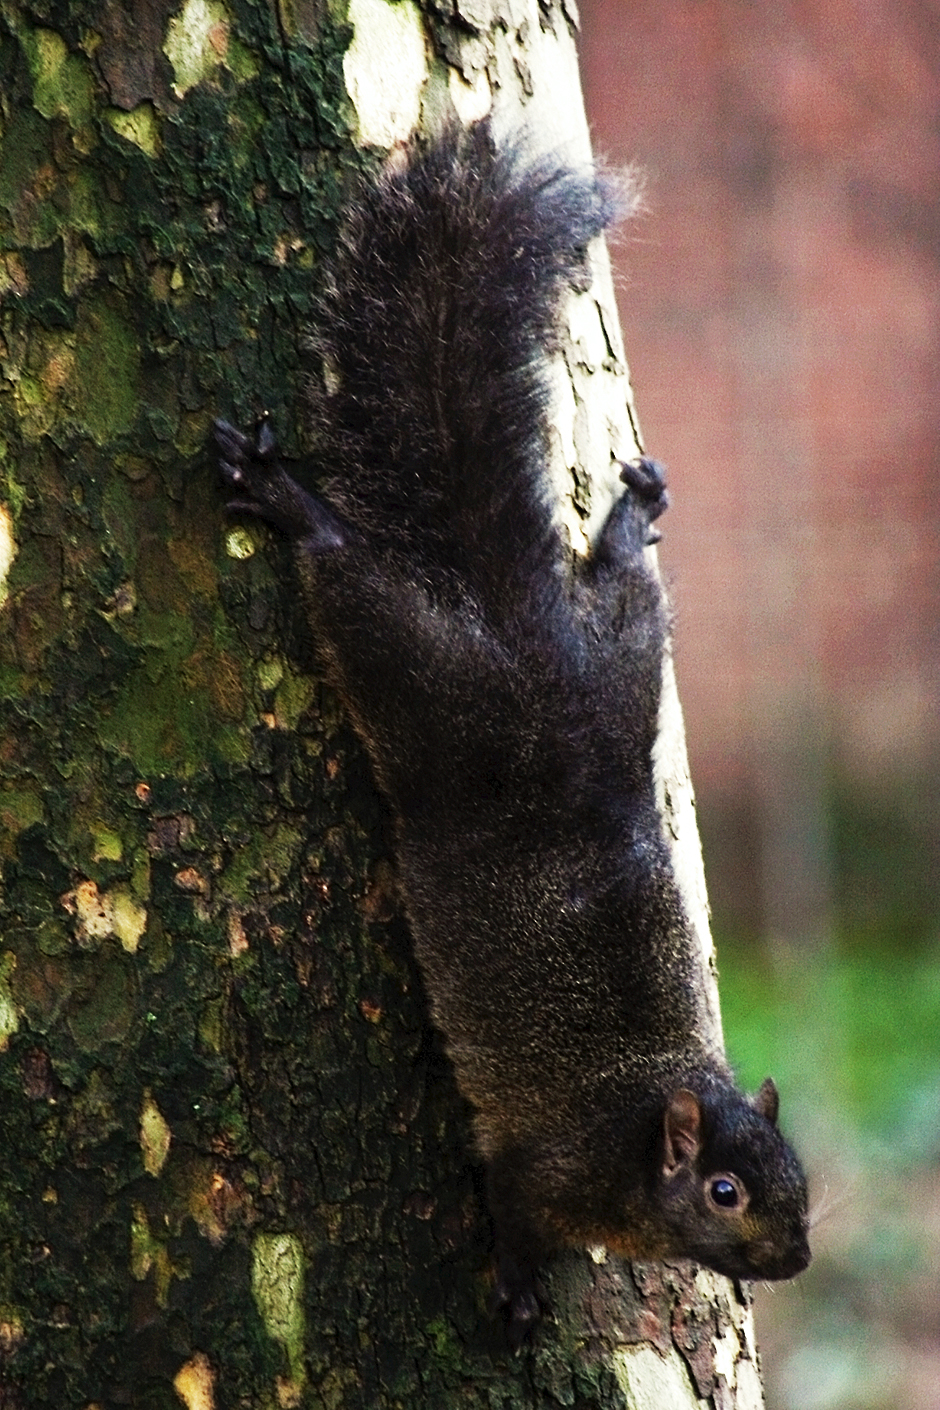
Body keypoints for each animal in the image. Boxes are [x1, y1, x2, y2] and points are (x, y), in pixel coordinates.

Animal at [212, 118, 811, 1331]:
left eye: (798, 1178)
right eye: (725, 1192)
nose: (796, 1256)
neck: (642, 1120)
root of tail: (522, 632)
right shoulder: (544, 1166)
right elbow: (509, 1206)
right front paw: (521, 1290)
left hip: (620, 669)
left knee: (621, 592)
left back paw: (628, 521)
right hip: (429, 693)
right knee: (350, 580)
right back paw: (294, 505)